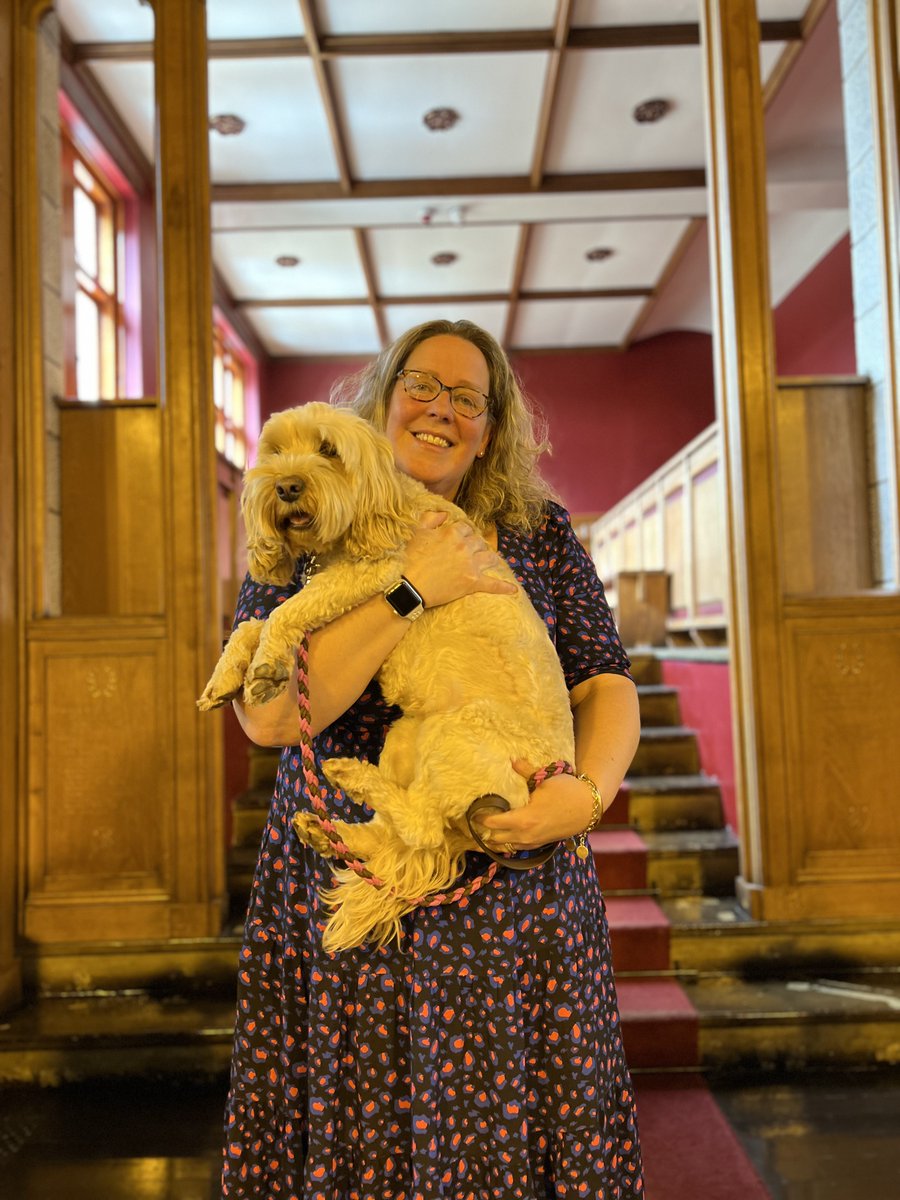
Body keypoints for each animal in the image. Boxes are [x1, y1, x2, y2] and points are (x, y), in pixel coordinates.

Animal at [200, 403, 573, 945]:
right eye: (274, 450)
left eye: (328, 450)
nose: (286, 486)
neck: (378, 506)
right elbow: (253, 622)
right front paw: (228, 676)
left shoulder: (372, 572)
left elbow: (281, 612)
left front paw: (266, 664)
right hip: (406, 736)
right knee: (397, 835)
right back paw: (331, 832)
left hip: (456, 731)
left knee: (420, 827)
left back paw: (351, 777)